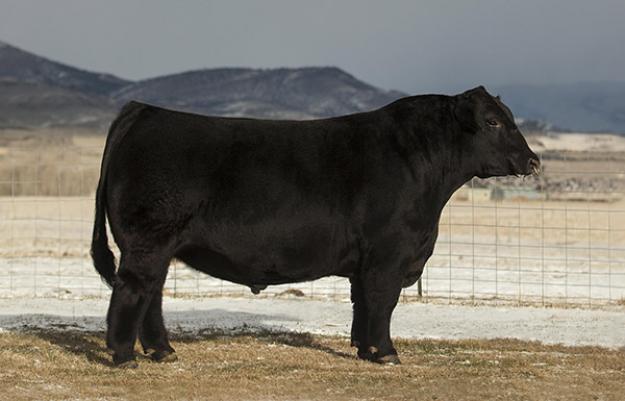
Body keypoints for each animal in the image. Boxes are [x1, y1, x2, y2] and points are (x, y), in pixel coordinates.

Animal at [91, 86, 540, 367]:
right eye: (492, 122)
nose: (533, 160)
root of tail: (144, 110)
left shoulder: (367, 263)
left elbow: (362, 304)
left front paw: (364, 349)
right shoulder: (388, 256)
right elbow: (383, 303)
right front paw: (386, 353)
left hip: (159, 245)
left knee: (151, 294)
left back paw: (162, 351)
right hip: (147, 241)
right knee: (133, 290)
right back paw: (124, 356)